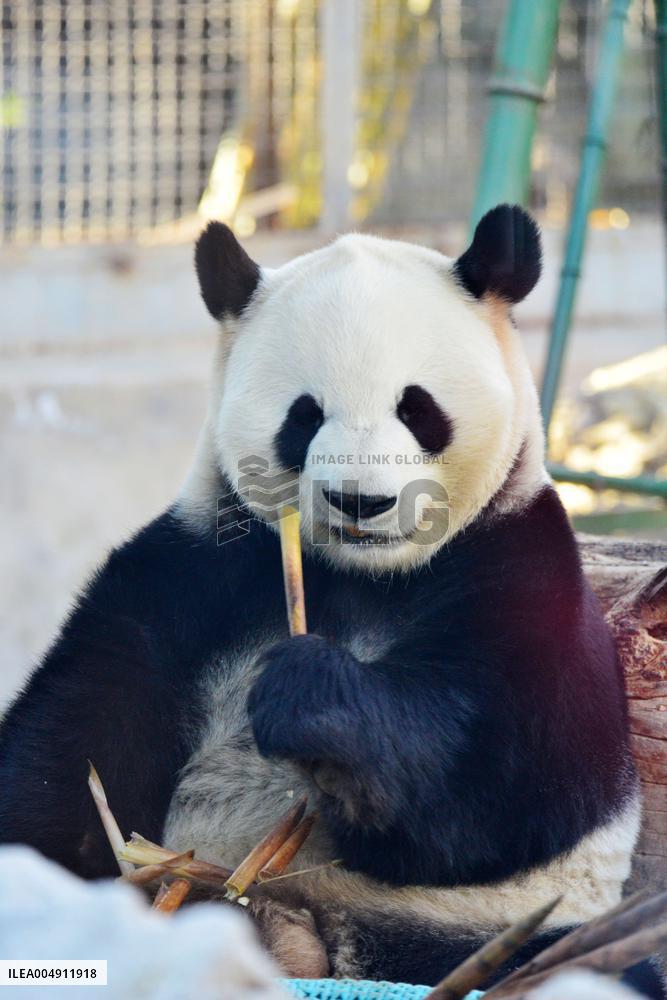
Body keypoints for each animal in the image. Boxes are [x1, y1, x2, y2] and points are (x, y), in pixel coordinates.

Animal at [0, 205, 662, 996]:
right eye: (304, 415)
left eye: (418, 409)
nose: (361, 500)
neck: (360, 574)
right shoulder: (197, 566)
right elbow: (84, 728)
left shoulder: (520, 569)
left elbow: (505, 778)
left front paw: (309, 696)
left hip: (479, 925)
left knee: (589, 961)